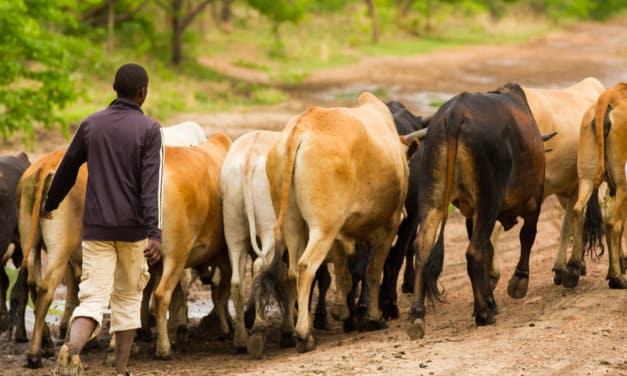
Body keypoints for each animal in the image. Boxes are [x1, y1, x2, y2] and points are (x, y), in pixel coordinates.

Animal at [255, 92, 418, 354]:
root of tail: (300, 128)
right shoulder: (388, 227)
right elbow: (373, 272)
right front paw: (374, 317)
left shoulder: (341, 232)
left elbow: (345, 274)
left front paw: (343, 312)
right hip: (323, 228)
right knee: (306, 267)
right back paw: (304, 335)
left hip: (294, 223)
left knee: (292, 271)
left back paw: (303, 328)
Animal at [408, 83, 548, 340]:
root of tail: (455, 113)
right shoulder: (535, 199)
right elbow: (527, 236)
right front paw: (518, 282)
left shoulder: (471, 214)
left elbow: (490, 249)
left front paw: (491, 299)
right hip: (488, 199)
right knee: (474, 250)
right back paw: (483, 313)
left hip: (433, 196)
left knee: (423, 246)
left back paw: (416, 316)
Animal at [564, 82, 627, 288]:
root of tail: (610, 95)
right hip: (622, 182)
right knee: (613, 223)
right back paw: (617, 278)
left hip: (587, 176)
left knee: (578, 210)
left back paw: (573, 267)